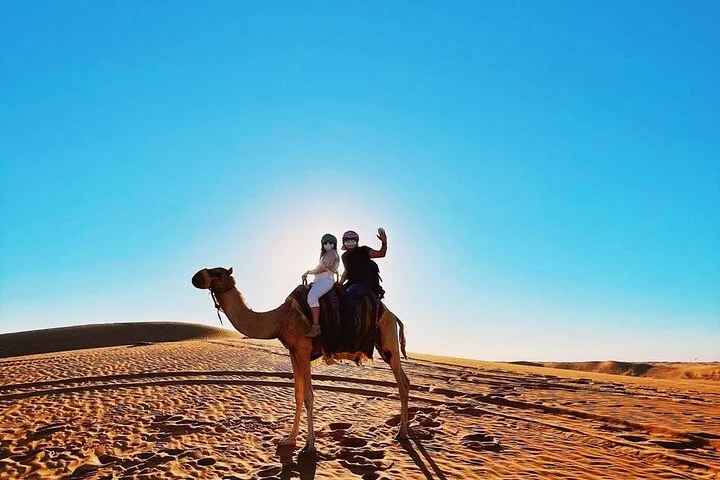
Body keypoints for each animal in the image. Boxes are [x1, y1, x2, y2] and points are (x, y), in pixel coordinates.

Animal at [191, 267, 410, 454]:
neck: (279, 318)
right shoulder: (293, 352)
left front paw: (309, 446)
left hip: (388, 341)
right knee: (406, 381)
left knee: (402, 383)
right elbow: (298, 394)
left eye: (218, 272)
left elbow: (309, 396)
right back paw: (404, 431)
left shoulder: (304, 351)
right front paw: (289, 439)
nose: (195, 277)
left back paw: (401, 433)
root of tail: (393, 315)